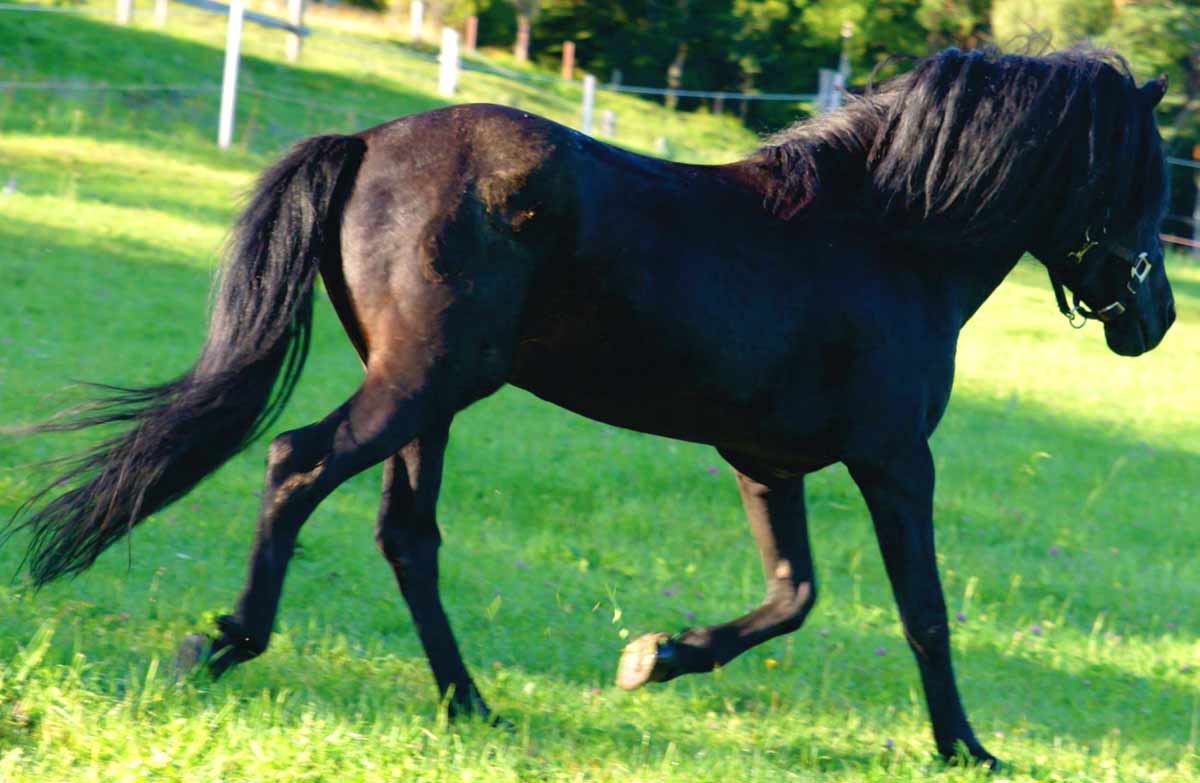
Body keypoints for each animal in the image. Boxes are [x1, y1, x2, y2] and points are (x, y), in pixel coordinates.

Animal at [6, 46, 1175, 768]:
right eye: (1148, 180)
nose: (1154, 320)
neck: (883, 234)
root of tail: (370, 141)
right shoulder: (895, 461)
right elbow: (923, 613)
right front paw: (969, 749)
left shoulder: (764, 460)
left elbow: (793, 595)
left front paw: (656, 658)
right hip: (419, 386)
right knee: (297, 462)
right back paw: (225, 645)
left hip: (434, 399)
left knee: (407, 536)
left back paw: (469, 702)